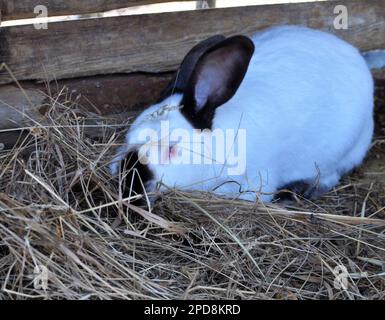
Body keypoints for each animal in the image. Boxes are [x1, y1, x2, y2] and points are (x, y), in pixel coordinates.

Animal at [109, 25, 382, 201]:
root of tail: (358, 57)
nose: (130, 182)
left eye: (172, 149)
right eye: (128, 139)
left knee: (330, 175)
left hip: (338, 152)